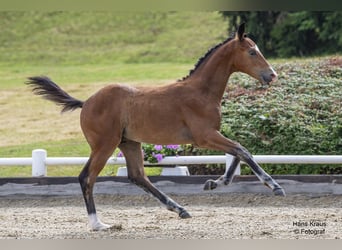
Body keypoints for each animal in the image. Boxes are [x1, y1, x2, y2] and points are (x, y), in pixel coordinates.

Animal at [26, 23, 284, 230]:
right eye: (252, 51)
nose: (272, 75)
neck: (200, 92)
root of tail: (86, 102)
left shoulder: (211, 136)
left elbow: (237, 154)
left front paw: (213, 183)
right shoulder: (205, 136)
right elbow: (242, 150)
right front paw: (274, 186)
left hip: (129, 143)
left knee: (138, 176)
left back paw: (180, 209)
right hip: (104, 145)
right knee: (86, 177)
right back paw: (98, 224)